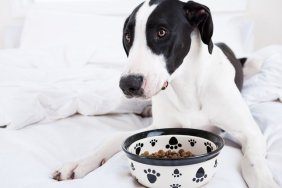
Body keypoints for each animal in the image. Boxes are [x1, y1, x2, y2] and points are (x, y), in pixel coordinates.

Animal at [53, 0, 278, 187]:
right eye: (128, 36)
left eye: (161, 32)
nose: (128, 84)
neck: (186, 85)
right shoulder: (159, 127)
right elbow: (113, 138)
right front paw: (80, 162)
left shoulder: (250, 133)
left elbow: (252, 162)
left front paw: (265, 182)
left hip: (252, 65)